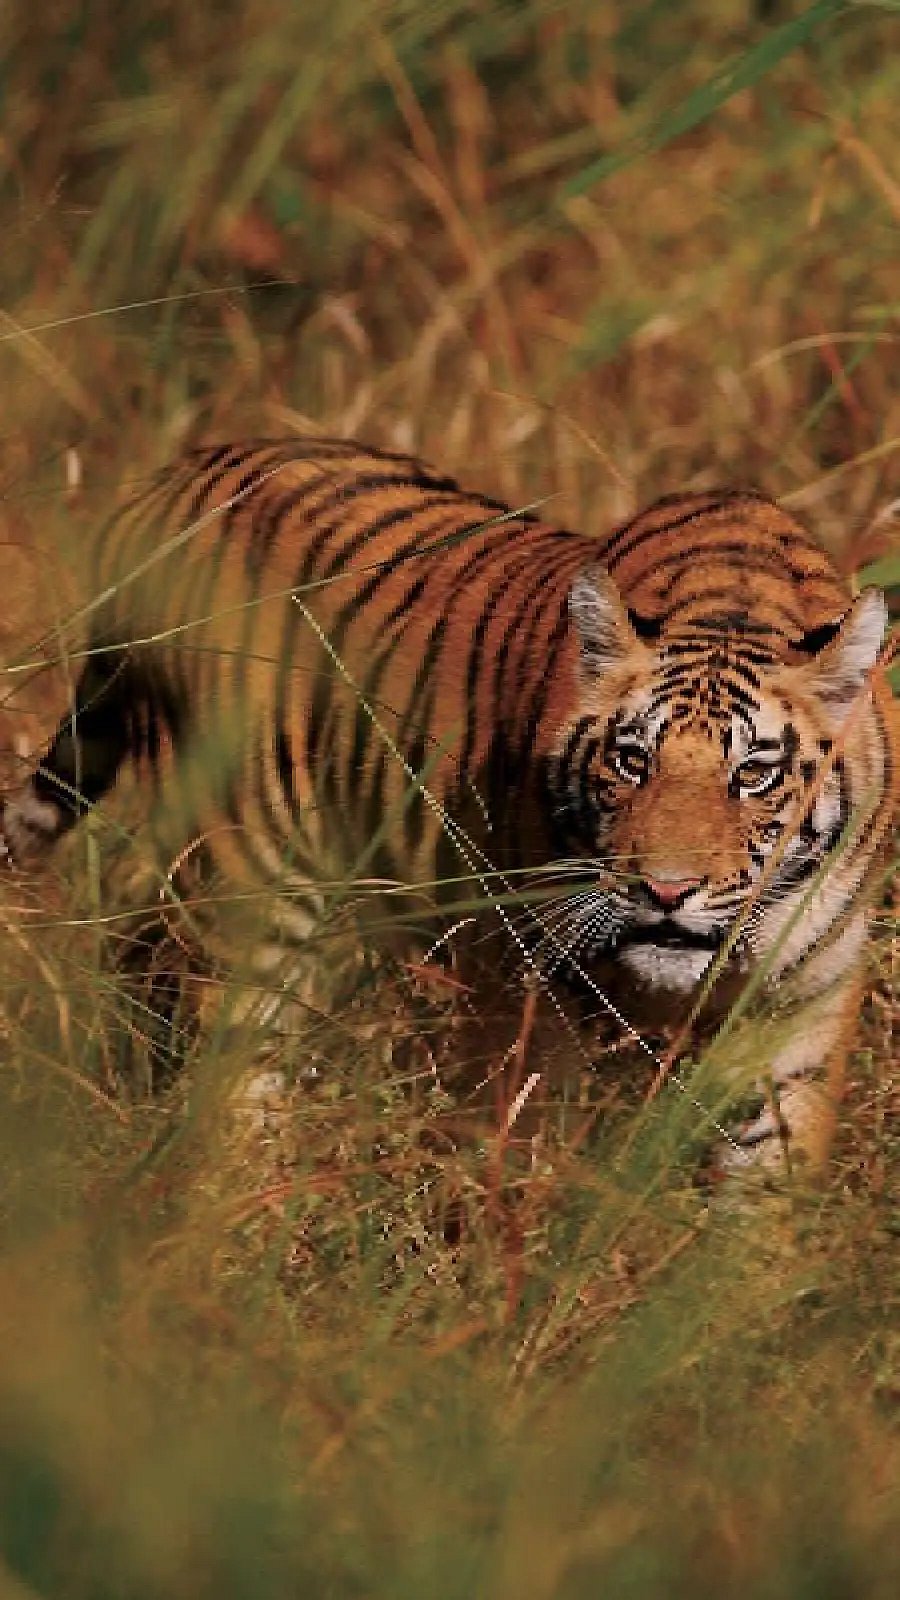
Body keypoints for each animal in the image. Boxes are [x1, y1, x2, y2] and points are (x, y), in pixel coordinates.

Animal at [1, 436, 896, 1182]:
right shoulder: (527, 979)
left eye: (754, 775)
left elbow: (770, 1174)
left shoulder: (806, 1001)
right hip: (249, 886)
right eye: (630, 762)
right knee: (232, 1059)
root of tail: (177, 474)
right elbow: (521, 1138)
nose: (666, 891)